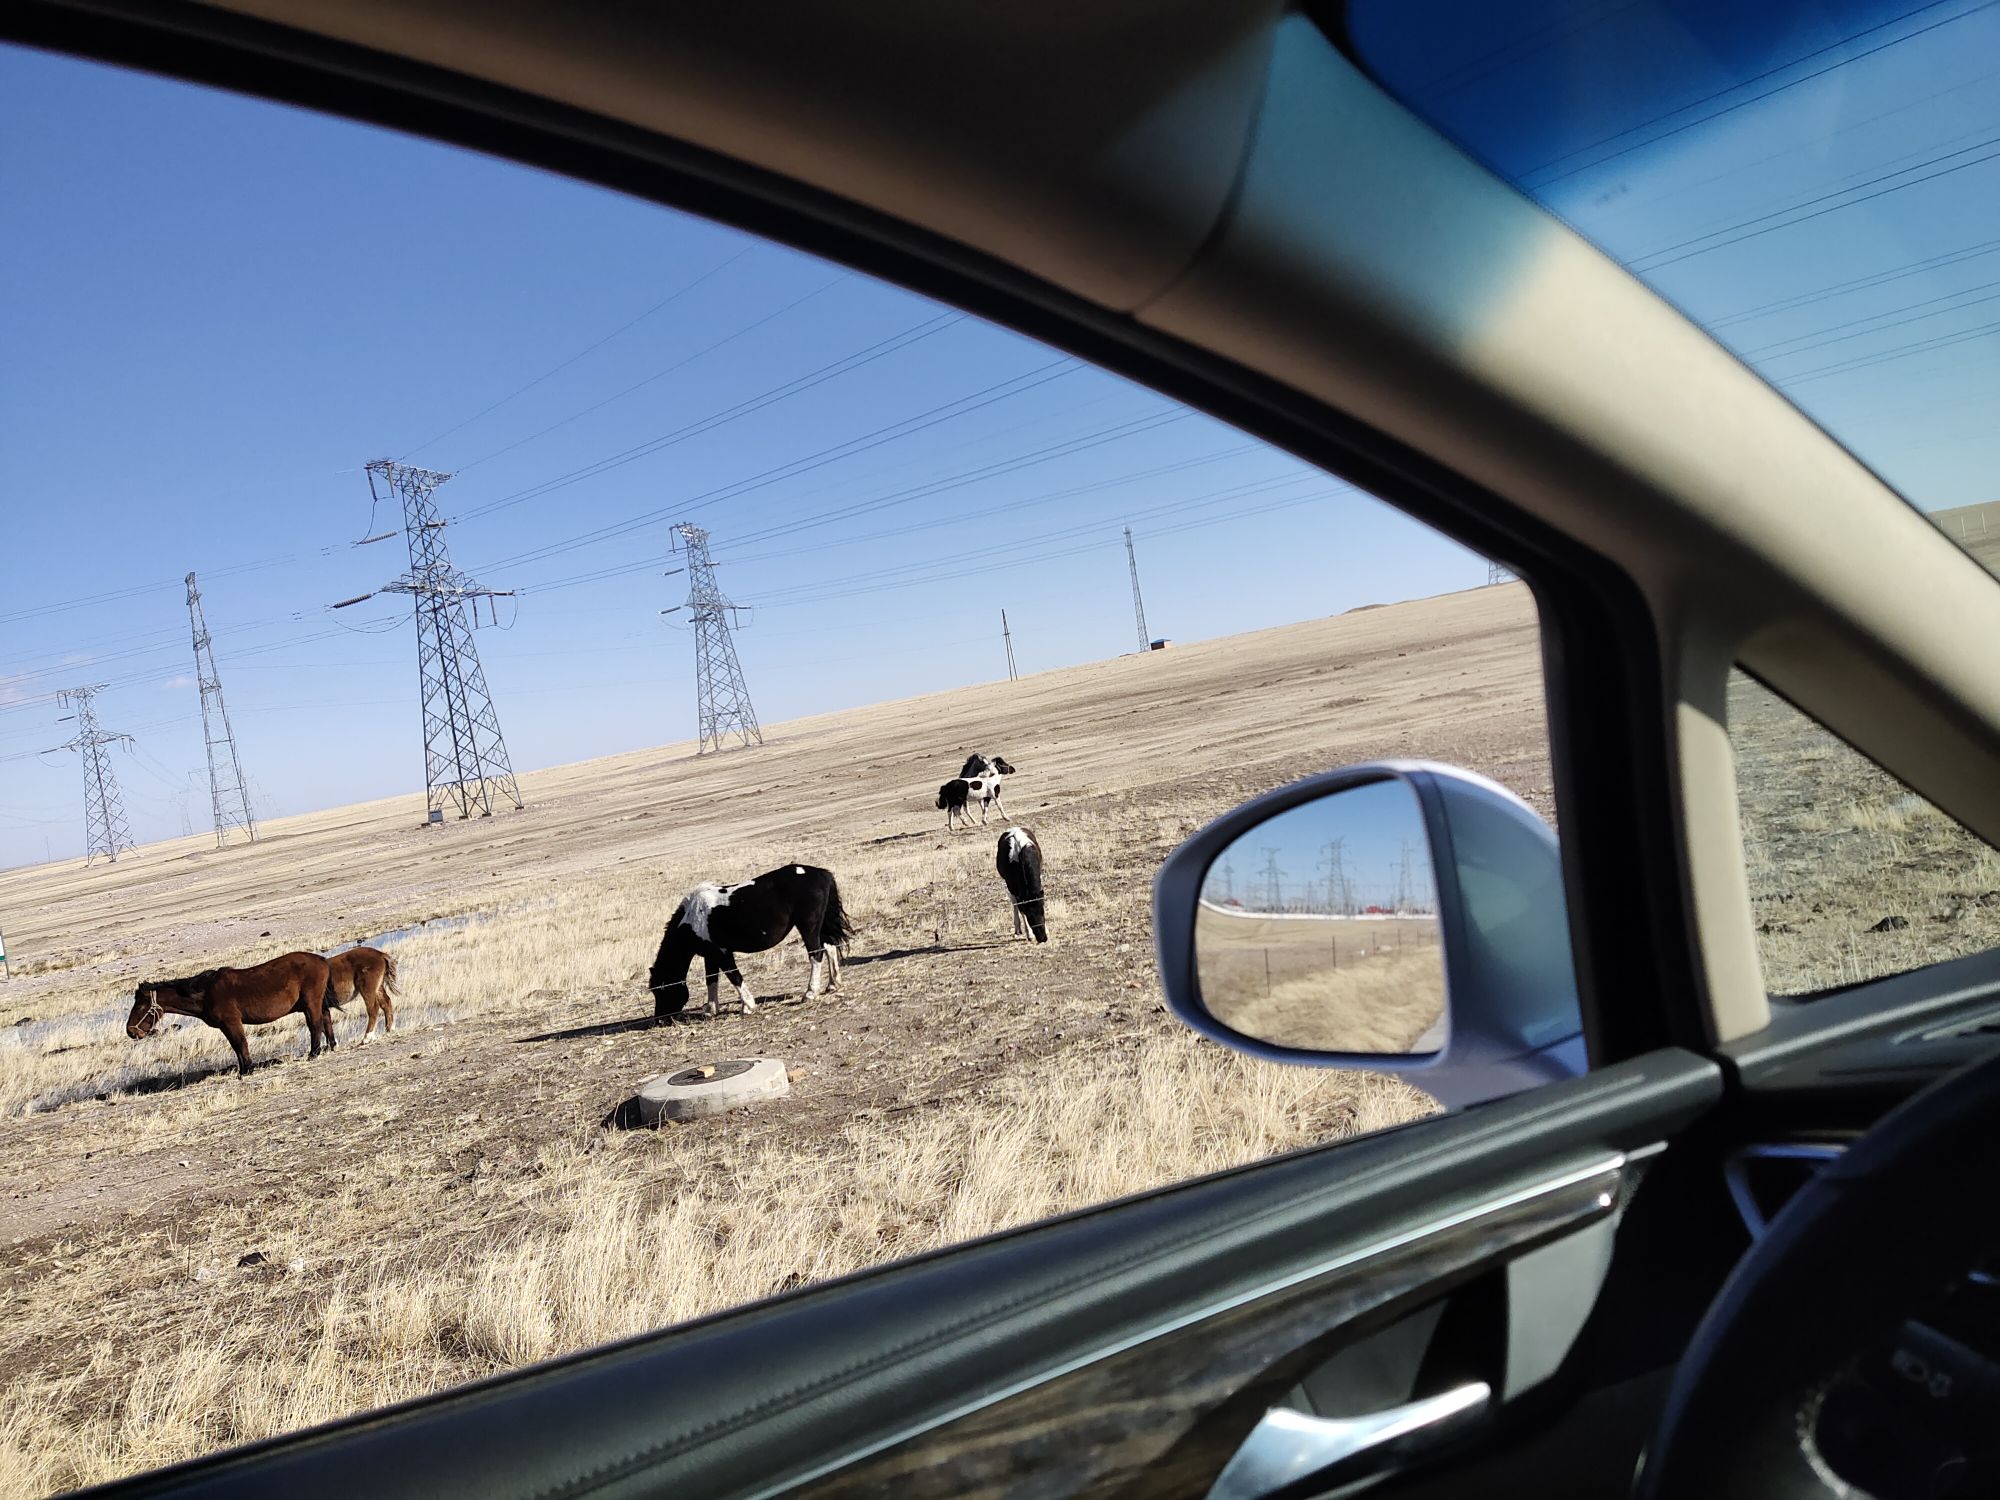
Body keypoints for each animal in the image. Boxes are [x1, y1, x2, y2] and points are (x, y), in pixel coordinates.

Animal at [128, 956, 336, 1072]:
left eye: (139, 1007)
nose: (130, 1031)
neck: (206, 993)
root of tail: (320, 959)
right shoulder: (225, 1026)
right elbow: (235, 1047)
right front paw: (243, 1068)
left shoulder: (232, 1022)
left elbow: (240, 1043)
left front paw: (247, 1069)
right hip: (315, 1003)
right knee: (326, 1019)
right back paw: (331, 1046)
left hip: (311, 1002)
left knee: (315, 1024)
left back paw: (314, 1053)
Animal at [648, 864, 852, 1032]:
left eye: (661, 990)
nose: (660, 1020)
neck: (692, 918)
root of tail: (822, 873)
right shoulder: (710, 955)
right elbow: (711, 979)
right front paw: (711, 1009)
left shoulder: (722, 953)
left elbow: (734, 976)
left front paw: (747, 1006)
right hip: (819, 926)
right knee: (830, 947)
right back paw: (833, 985)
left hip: (808, 927)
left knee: (816, 954)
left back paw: (810, 993)